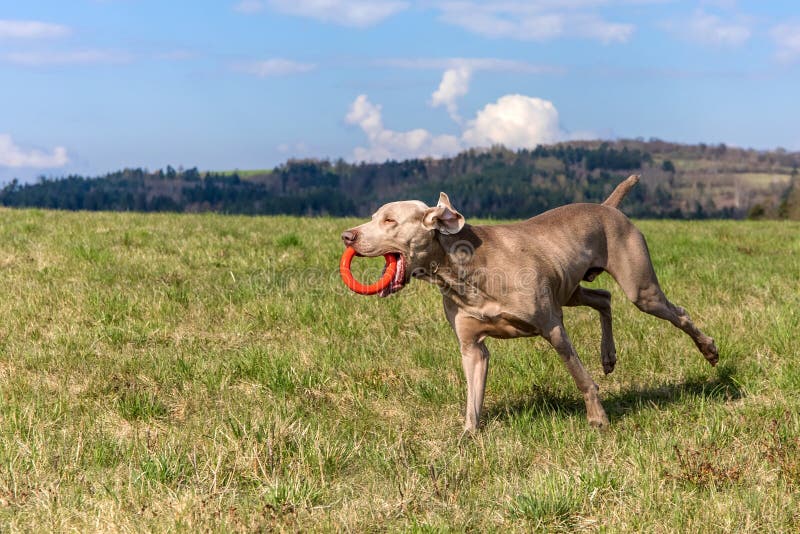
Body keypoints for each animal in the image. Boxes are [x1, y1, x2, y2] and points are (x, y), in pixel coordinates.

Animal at [340, 178, 720, 434]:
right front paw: (467, 436)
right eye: (373, 216)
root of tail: (608, 208)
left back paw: (709, 350)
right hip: (571, 289)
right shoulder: (471, 347)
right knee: (604, 298)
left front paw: (598, 419)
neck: (462, 272)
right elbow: (473, 397)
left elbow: (581, 377)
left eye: (389, 220)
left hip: (641, 290)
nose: (347, 236)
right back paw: (608, 355)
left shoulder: (553, 328)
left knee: (676, 313)